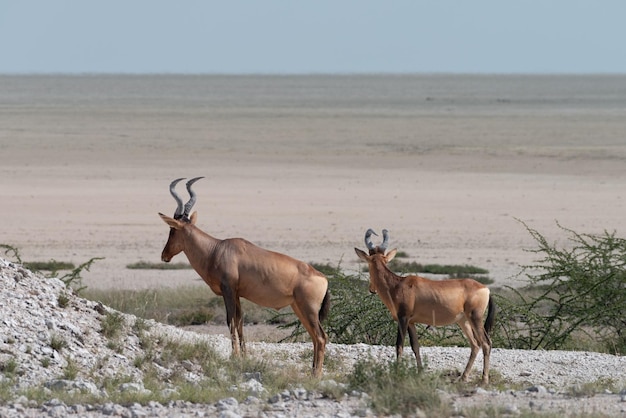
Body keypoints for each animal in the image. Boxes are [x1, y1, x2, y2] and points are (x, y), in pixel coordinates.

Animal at [158, 178, 330, 378]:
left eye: (172, 230)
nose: (164, 256)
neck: (217, 249)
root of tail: (323, 277)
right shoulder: (237, 294)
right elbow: (240, 322)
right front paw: (244, 357)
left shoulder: (228, 291)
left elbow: (230, 321)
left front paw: (234, 357)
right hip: (299, 307)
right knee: (315, 337)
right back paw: (312, 372)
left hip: (308, 309)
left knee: (321, 337)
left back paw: (316, 375)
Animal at [356, 229, 492, 386]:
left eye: (369, 264)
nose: (371, 289)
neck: (398, 284)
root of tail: (485, 288)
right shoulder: (411, 322)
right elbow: (415, 346)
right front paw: (420, 373)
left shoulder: (403, 318)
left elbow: (399, 345)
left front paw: (396, 373)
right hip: (463, 321)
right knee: (475, 345)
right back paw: (463, 377)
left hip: (475, 318)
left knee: (486, 343)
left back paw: (484, 380)